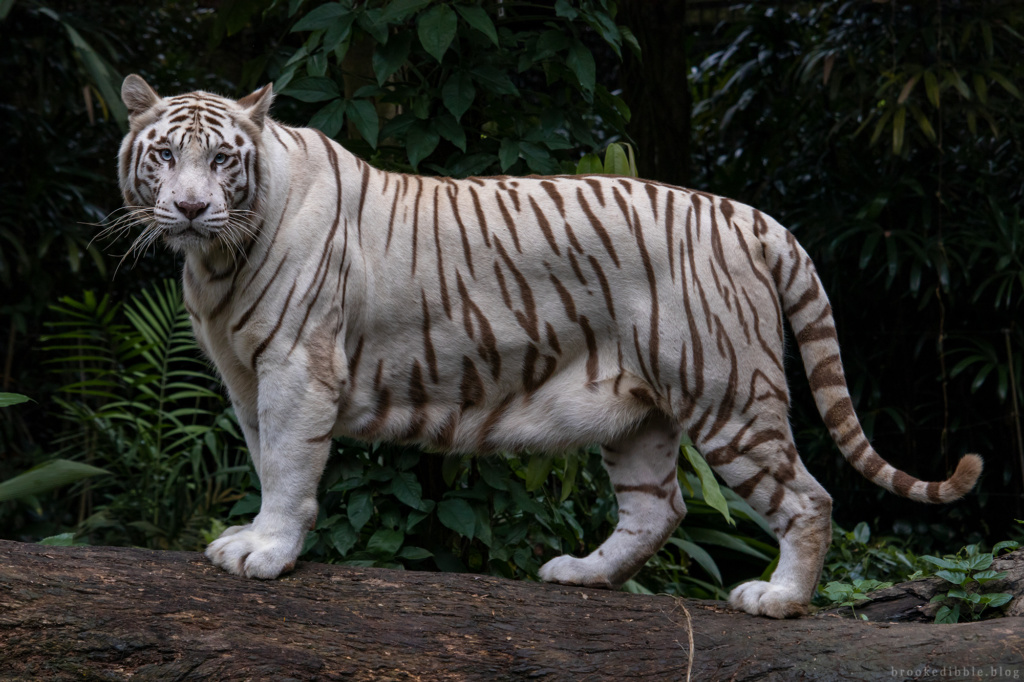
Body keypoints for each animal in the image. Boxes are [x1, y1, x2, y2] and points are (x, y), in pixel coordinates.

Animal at [116, 74, 978, 614]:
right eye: (163, 155)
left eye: (220, 158)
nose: (189, 208)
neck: (216, 262)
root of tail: (750, 215)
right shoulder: (245, 375)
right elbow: (265, 456)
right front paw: (255, 538)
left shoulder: (298, 365)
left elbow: (291, 465)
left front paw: (266, 552)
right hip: (643, 412)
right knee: (658, 508)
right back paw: (582, 575)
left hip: (727, 392)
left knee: (807, 497)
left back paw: (781, 600)